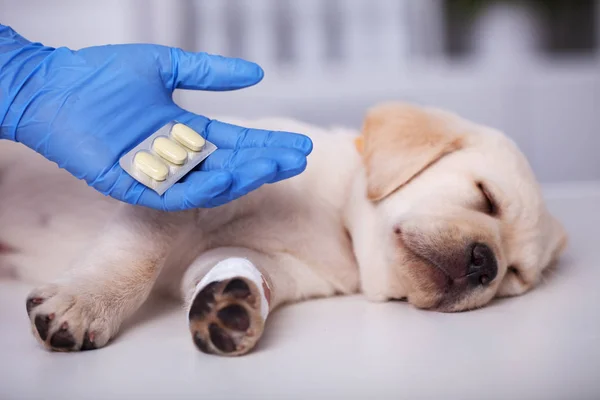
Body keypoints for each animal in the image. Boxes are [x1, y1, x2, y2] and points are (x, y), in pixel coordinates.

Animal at [0, 101, 568, 354]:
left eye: (514, 277)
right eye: (486, 198)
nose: (485, 263)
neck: (339, 228)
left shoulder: (278, 265)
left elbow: (234, 271)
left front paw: (232, 305)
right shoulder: (180, 198)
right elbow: (136, 258)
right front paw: (87, 303)